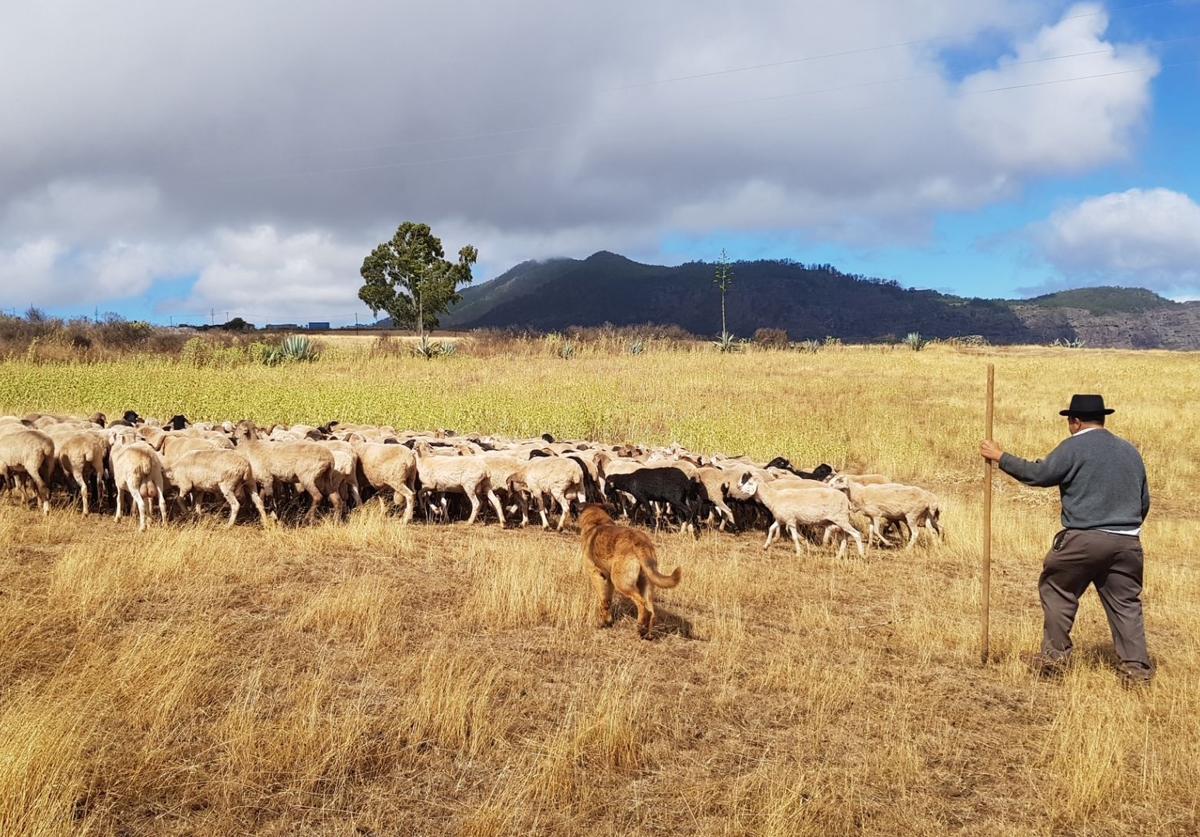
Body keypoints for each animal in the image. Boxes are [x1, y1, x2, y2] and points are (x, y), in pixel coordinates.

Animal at [576, 506, 681, 637]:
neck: (598, 522)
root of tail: (641, 542)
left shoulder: (597, 575)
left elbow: (604, 600)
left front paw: (603, 623)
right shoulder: (608, 580)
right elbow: (607, 601)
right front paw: (607, 621)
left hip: (622, 583)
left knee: (642, 605)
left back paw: (641, 628)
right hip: (646, 584)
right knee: (651, 609)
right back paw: (647, 633)